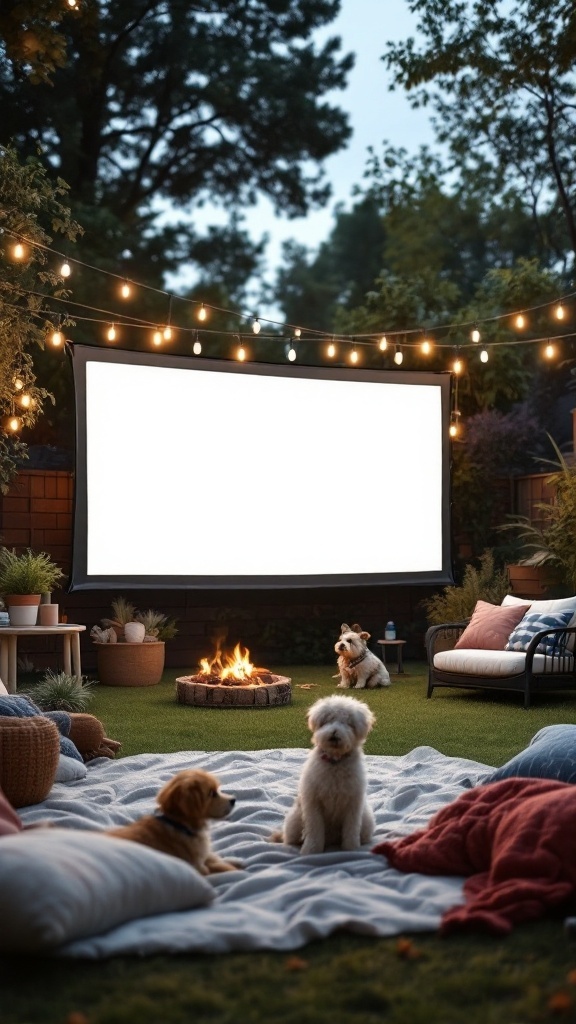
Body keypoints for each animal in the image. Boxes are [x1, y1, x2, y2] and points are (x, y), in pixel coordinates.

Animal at [106, 770, 238, 872]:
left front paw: (236, 863)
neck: (180, 824)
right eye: (212, 793)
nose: (233, 800)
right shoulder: (200, 867)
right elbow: (220, 867)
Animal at [270, 692, 375, 851]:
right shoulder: (313, 802)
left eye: (348, 723)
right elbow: (314, 829)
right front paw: (311, 850)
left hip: (367, 821)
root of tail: (331, 840)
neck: (335, 761)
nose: (334, 732)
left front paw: (351, 849)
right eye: (328, 720)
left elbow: (351, 829)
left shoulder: (353, 803)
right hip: (294, 822)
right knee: (290, 838)